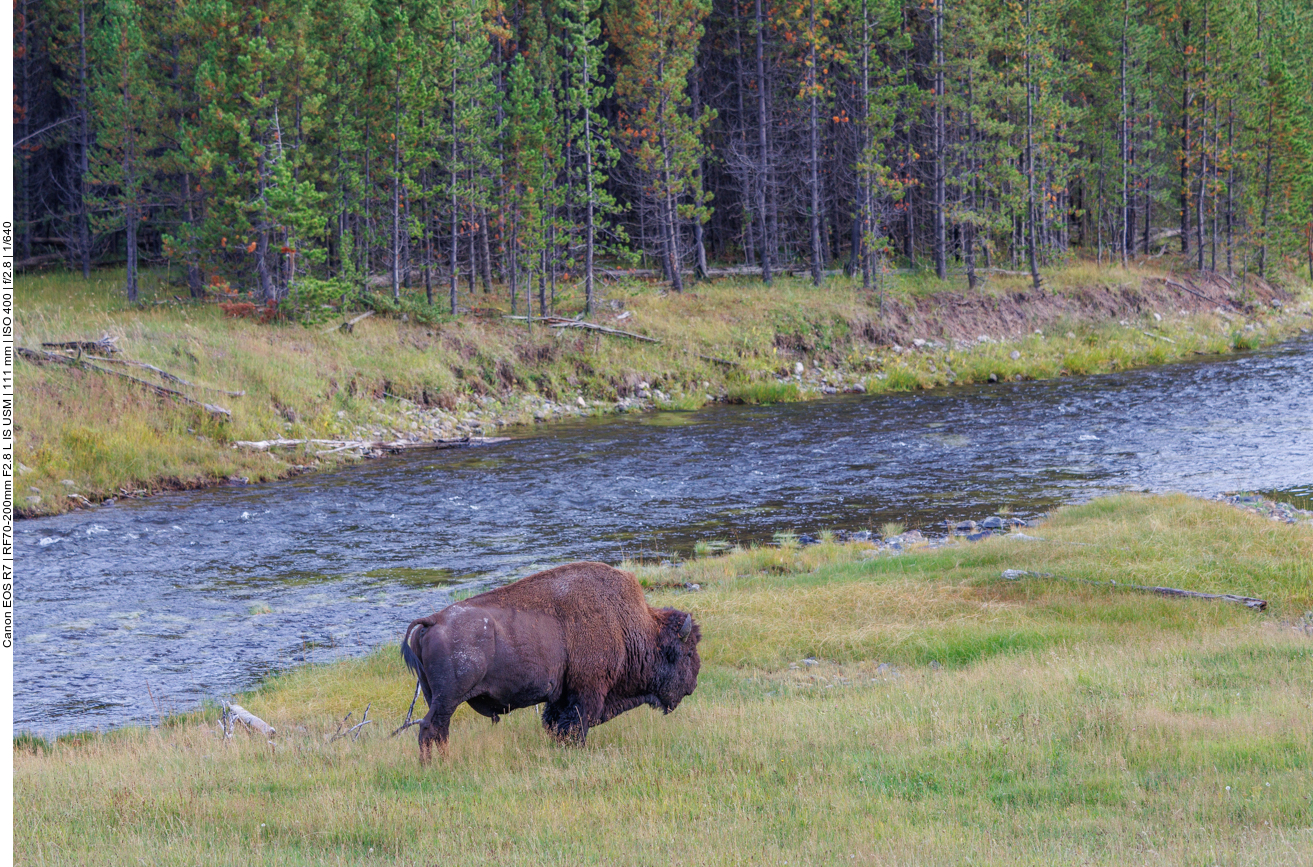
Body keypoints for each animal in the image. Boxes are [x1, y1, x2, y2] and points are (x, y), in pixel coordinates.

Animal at [399, 562, 703, 756]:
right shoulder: (586, 694)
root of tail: (433, 621)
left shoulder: (561, 696)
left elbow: (554, 724)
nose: (693, 686)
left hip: (435, 697)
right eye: (687, 653)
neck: (627, 625)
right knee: (430, 728)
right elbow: (575, 725)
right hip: (448, 698)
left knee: (439, 730)